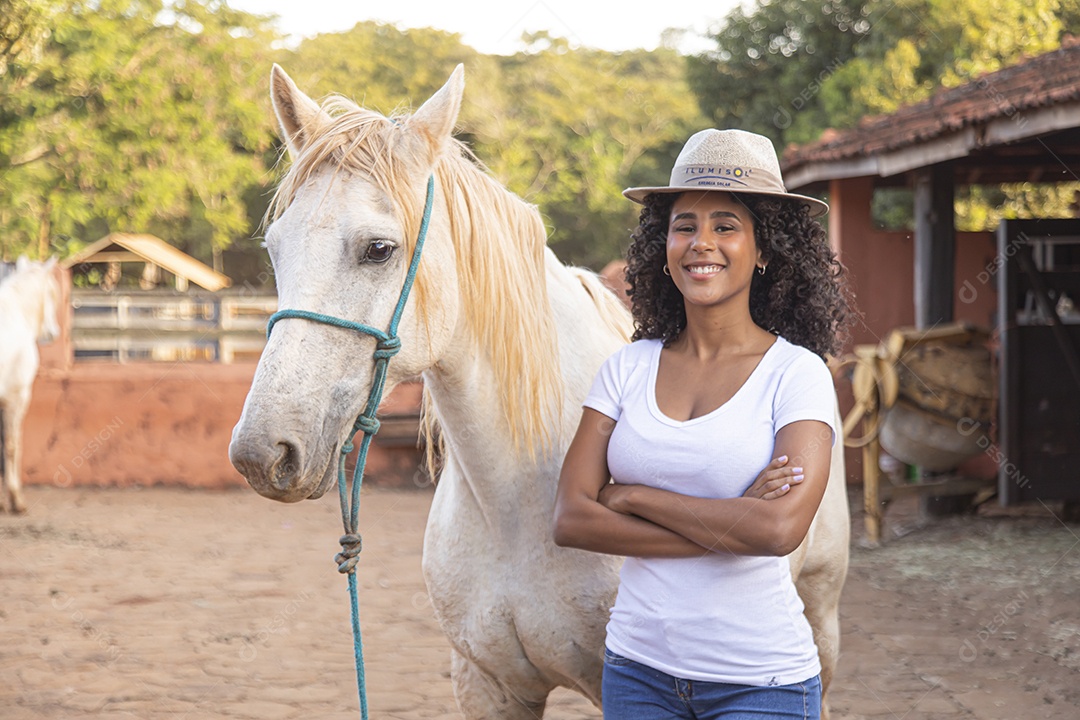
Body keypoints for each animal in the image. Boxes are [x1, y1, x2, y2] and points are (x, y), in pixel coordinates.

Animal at [230, 64, 851, 716]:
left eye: (379, 249)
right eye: (275, 247)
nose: (261, 452)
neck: (518, 502)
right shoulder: (488, 684)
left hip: (820, 626)